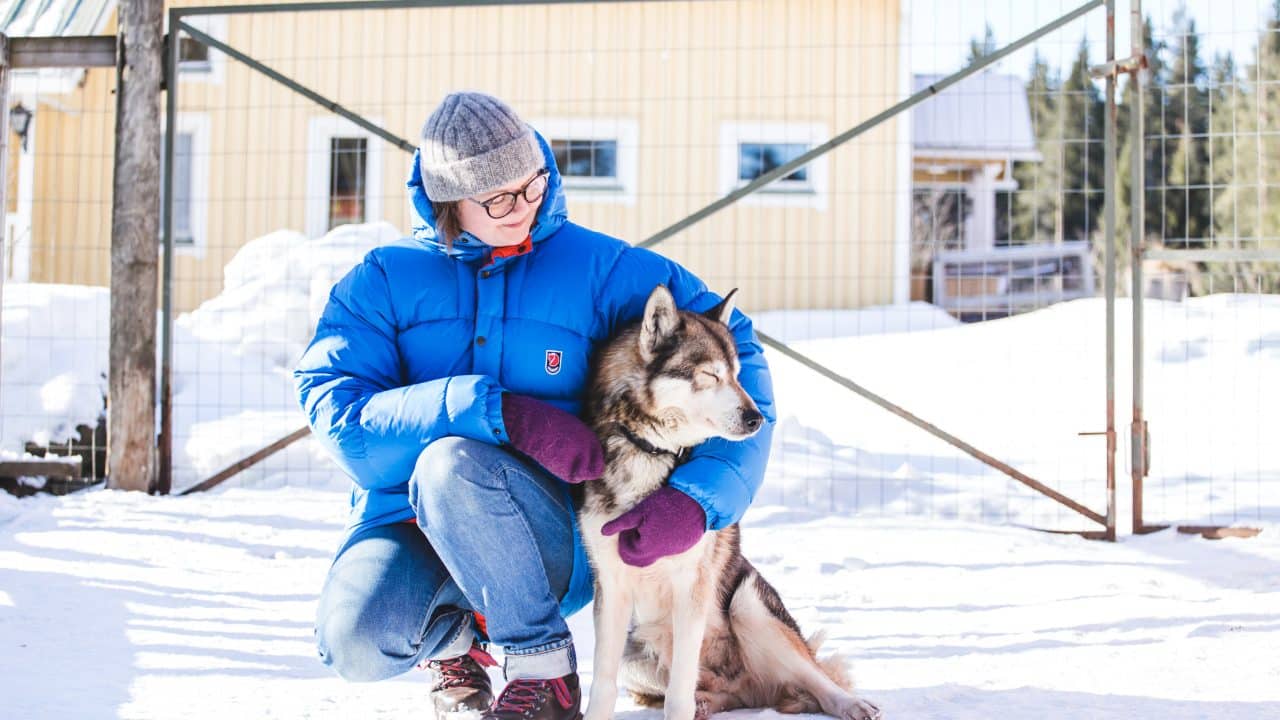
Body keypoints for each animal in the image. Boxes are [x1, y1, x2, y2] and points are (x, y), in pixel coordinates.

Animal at [581, 283, 880, 717]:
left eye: (739, 375)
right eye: (710, 374)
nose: (757, 418)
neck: (651, 454)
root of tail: (757, 689)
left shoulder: (692, 585)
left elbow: (679, 690)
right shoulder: (611, 587)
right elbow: (603, 683)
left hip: (748, 605)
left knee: (819, 679)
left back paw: (849, 704)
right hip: (635, 653)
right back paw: (709, 702)